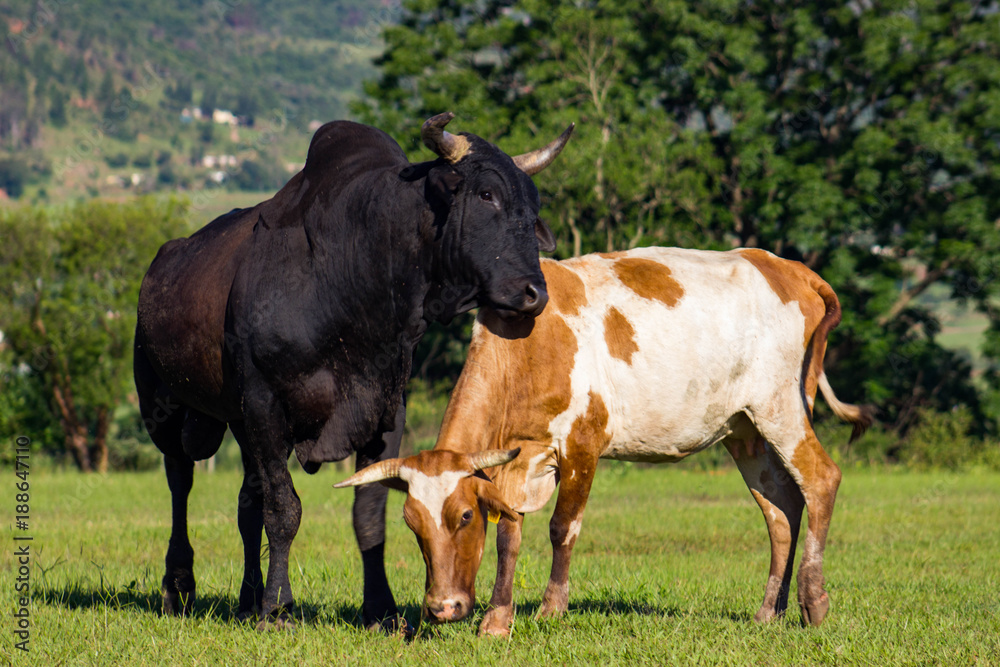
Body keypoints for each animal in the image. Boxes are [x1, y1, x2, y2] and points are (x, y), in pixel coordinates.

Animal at [133, 112, 574, 632]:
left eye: (533, 204)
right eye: (487, 194)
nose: (534, 293)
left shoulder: (383, 409)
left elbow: (367, 512)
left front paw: (380, 608)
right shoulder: (265, 405)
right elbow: (284, 510)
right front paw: (278, 608)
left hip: (239, 425)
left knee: (246, 505)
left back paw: (246, 599)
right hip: (165, 411)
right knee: (180, 482)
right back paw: (180, 584)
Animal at [335, 247, 875, 635]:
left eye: (464, 516)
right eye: (411, 523)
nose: (442, 608)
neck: (528, 346)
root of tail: (785, 267)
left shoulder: (582, 445)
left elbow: (562, 528)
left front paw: (551, 610)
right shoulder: (517, 461)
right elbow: (510, 533)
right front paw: (497, 619)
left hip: (782, 407)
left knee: (821, 480)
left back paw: (813, 602)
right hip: (745, 431)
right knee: (781, 507)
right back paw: (769, 612)